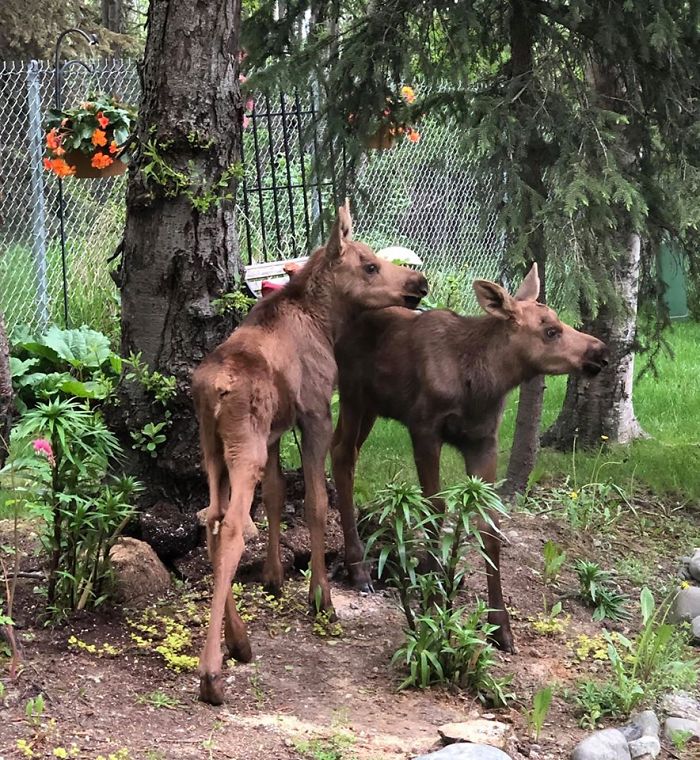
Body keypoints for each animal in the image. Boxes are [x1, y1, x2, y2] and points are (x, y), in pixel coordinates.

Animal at [191, 204, 428, 705]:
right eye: (370, 265)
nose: (418, 283)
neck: (324, 321)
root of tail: (215, 391)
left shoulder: (277, 433)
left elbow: (279, 495)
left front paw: (275, 578)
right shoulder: (316, 413)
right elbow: (318, 503)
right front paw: (321, 598)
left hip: (213, 450)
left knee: (212, 520)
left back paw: (238, 641)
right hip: (244, 447)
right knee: (233, 527)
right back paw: (212, 673)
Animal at [330, 264, 608, 653]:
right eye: (551, 331)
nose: (601, 352)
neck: (482, 383)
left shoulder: (482, 442)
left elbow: (490, 523)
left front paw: (500, 626)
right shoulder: (424, 428)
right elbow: (435, 509)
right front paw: (433, 599)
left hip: (371, 405)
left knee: (340, 448)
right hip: (353, 394)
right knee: (343, 454)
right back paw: (358, 568)